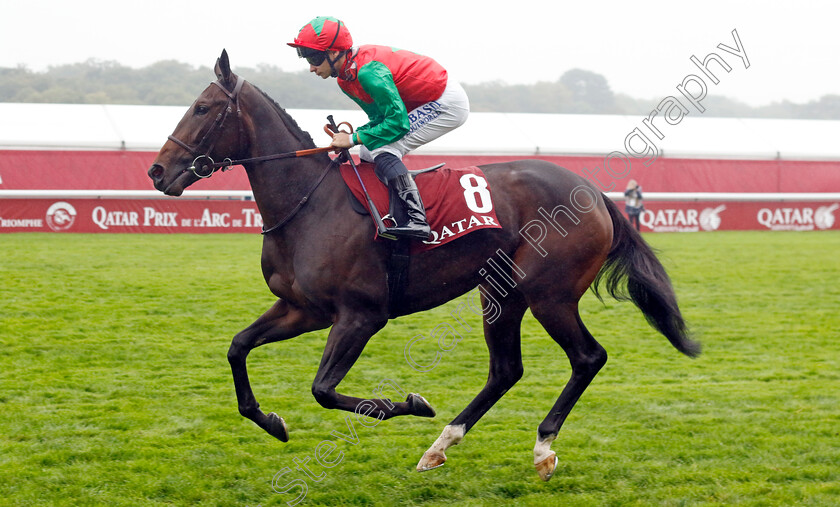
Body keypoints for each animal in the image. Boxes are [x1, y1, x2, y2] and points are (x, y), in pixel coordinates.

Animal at [148, 51, 700, 484]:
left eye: (202, 108)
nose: (156, 171)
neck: (310, 203)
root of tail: (594, 192)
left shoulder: (361, 316)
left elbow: (323, 390)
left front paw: (410, 403)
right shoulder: (302, 309)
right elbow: (238, 348)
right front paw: (271, 421)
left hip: (549, 293)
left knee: (587, 357)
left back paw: (542, 448)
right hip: (500, 293)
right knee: (506, 369)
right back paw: (441, 445)